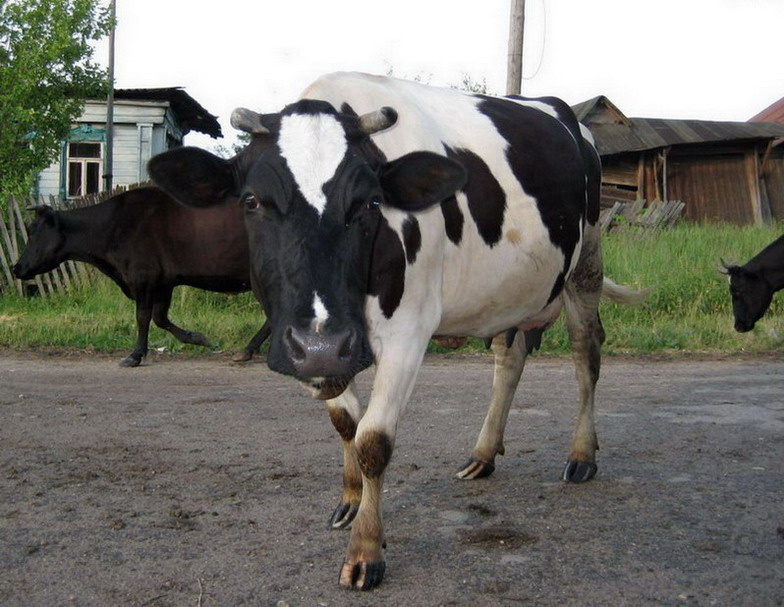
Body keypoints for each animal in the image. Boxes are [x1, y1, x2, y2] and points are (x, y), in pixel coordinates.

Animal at [12, 186, 269, 366]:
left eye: (34, 232)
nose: (16, 268)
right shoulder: (164, 282)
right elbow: (160, 318)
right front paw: (197, 337)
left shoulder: (142, 277)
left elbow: (143, 317)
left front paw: (135, 355)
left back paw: (248, 350)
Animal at [148, 72, 646, 590]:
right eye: (251, 200)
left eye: (370, 202)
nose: (321, 343)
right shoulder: (312, 346)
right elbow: (345, 421)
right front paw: (350, 500)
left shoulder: (408, 331)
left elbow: (373, 440)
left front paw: (366, 550)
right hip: (510, 293)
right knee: (509, 360)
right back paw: (483, 454)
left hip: (586, 264)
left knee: (586, 354)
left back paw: (582, 454)